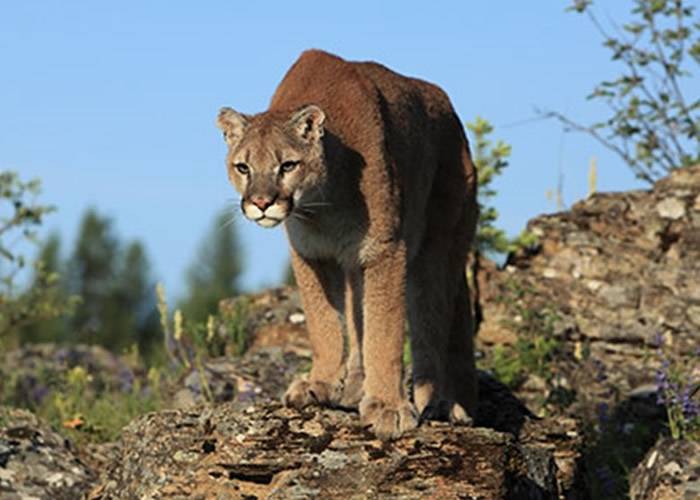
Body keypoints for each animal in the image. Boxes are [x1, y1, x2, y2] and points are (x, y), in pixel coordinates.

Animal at [216, 47, 478, 438]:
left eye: (288, 165)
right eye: (243, 167)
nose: (261, 203)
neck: (322, 206)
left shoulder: (386, 248)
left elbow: (384, 332)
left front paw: (388, 407)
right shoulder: (311, 255)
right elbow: (324, 323)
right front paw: (319, 383)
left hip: (438, 245)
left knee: (434, 320)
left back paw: (440, 403)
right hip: (357, 265)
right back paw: (355, 389)